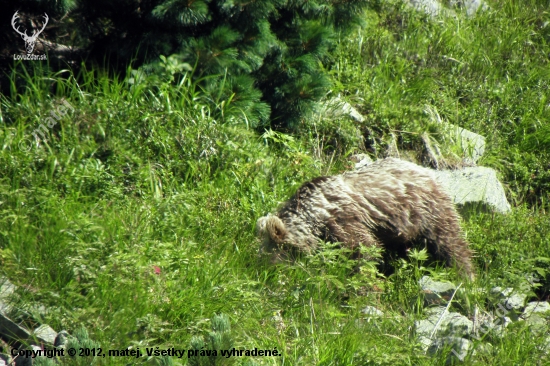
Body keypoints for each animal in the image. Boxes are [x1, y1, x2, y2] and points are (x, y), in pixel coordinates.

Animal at [256, 157, 476, 280]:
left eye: (275, 257)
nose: (270, 274)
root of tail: (426, 170)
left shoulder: (343, 219)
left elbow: (363, 248)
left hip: (426, 210)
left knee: (448, 240)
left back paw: (465, 274)